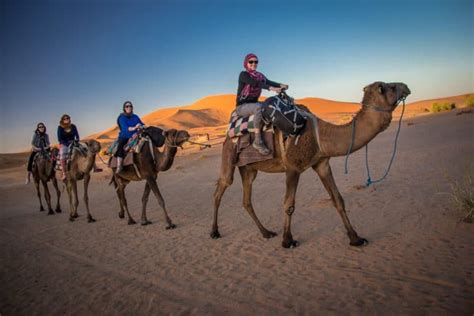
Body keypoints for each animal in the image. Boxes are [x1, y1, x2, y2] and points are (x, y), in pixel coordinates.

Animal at [211, 82, 412, 249]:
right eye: (388, 87)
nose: (406, 86)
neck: (319, 135)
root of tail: (228, 134)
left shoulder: (322, 163)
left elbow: (338, 200)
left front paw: (356, 238)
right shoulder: (293, 168)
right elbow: (289, 204)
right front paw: (288, 241)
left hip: (248, 169)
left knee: (246, 200)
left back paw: (266, 232)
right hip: (228, 156)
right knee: (221, 187)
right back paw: (214, 232)